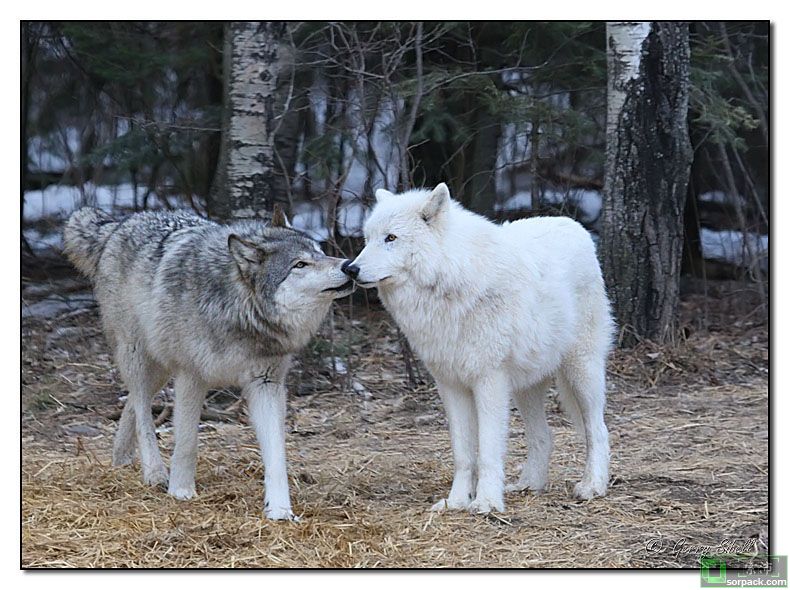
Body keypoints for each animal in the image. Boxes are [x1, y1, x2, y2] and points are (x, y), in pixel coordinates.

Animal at [64, 206, 353, 520]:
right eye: (300, 264)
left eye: (320, 251)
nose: (349, 266)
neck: (237, 309)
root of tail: (121, 222)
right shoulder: (191, 376)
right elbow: (187, 441)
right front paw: (181, 490)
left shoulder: (266, 384)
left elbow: (276, 455)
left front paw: (279, 510)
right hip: (140, 357)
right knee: (142, 411)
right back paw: (154, 472)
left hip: (160, 367)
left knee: (132, 403)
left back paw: (121, 457)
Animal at [343, 183, 614, 514]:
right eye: (367, 239)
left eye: (390, 238)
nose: (350, 269)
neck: (451, 281)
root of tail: (575, 227)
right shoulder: (451, 385)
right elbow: (463, 454)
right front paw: (457, 501)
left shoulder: (489, 381)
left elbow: (487, 451)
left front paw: (486, 502)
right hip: (526, 387)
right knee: (543, 435)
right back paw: (529, 485)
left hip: (582, 372)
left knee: (597, 430)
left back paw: (593, 486)